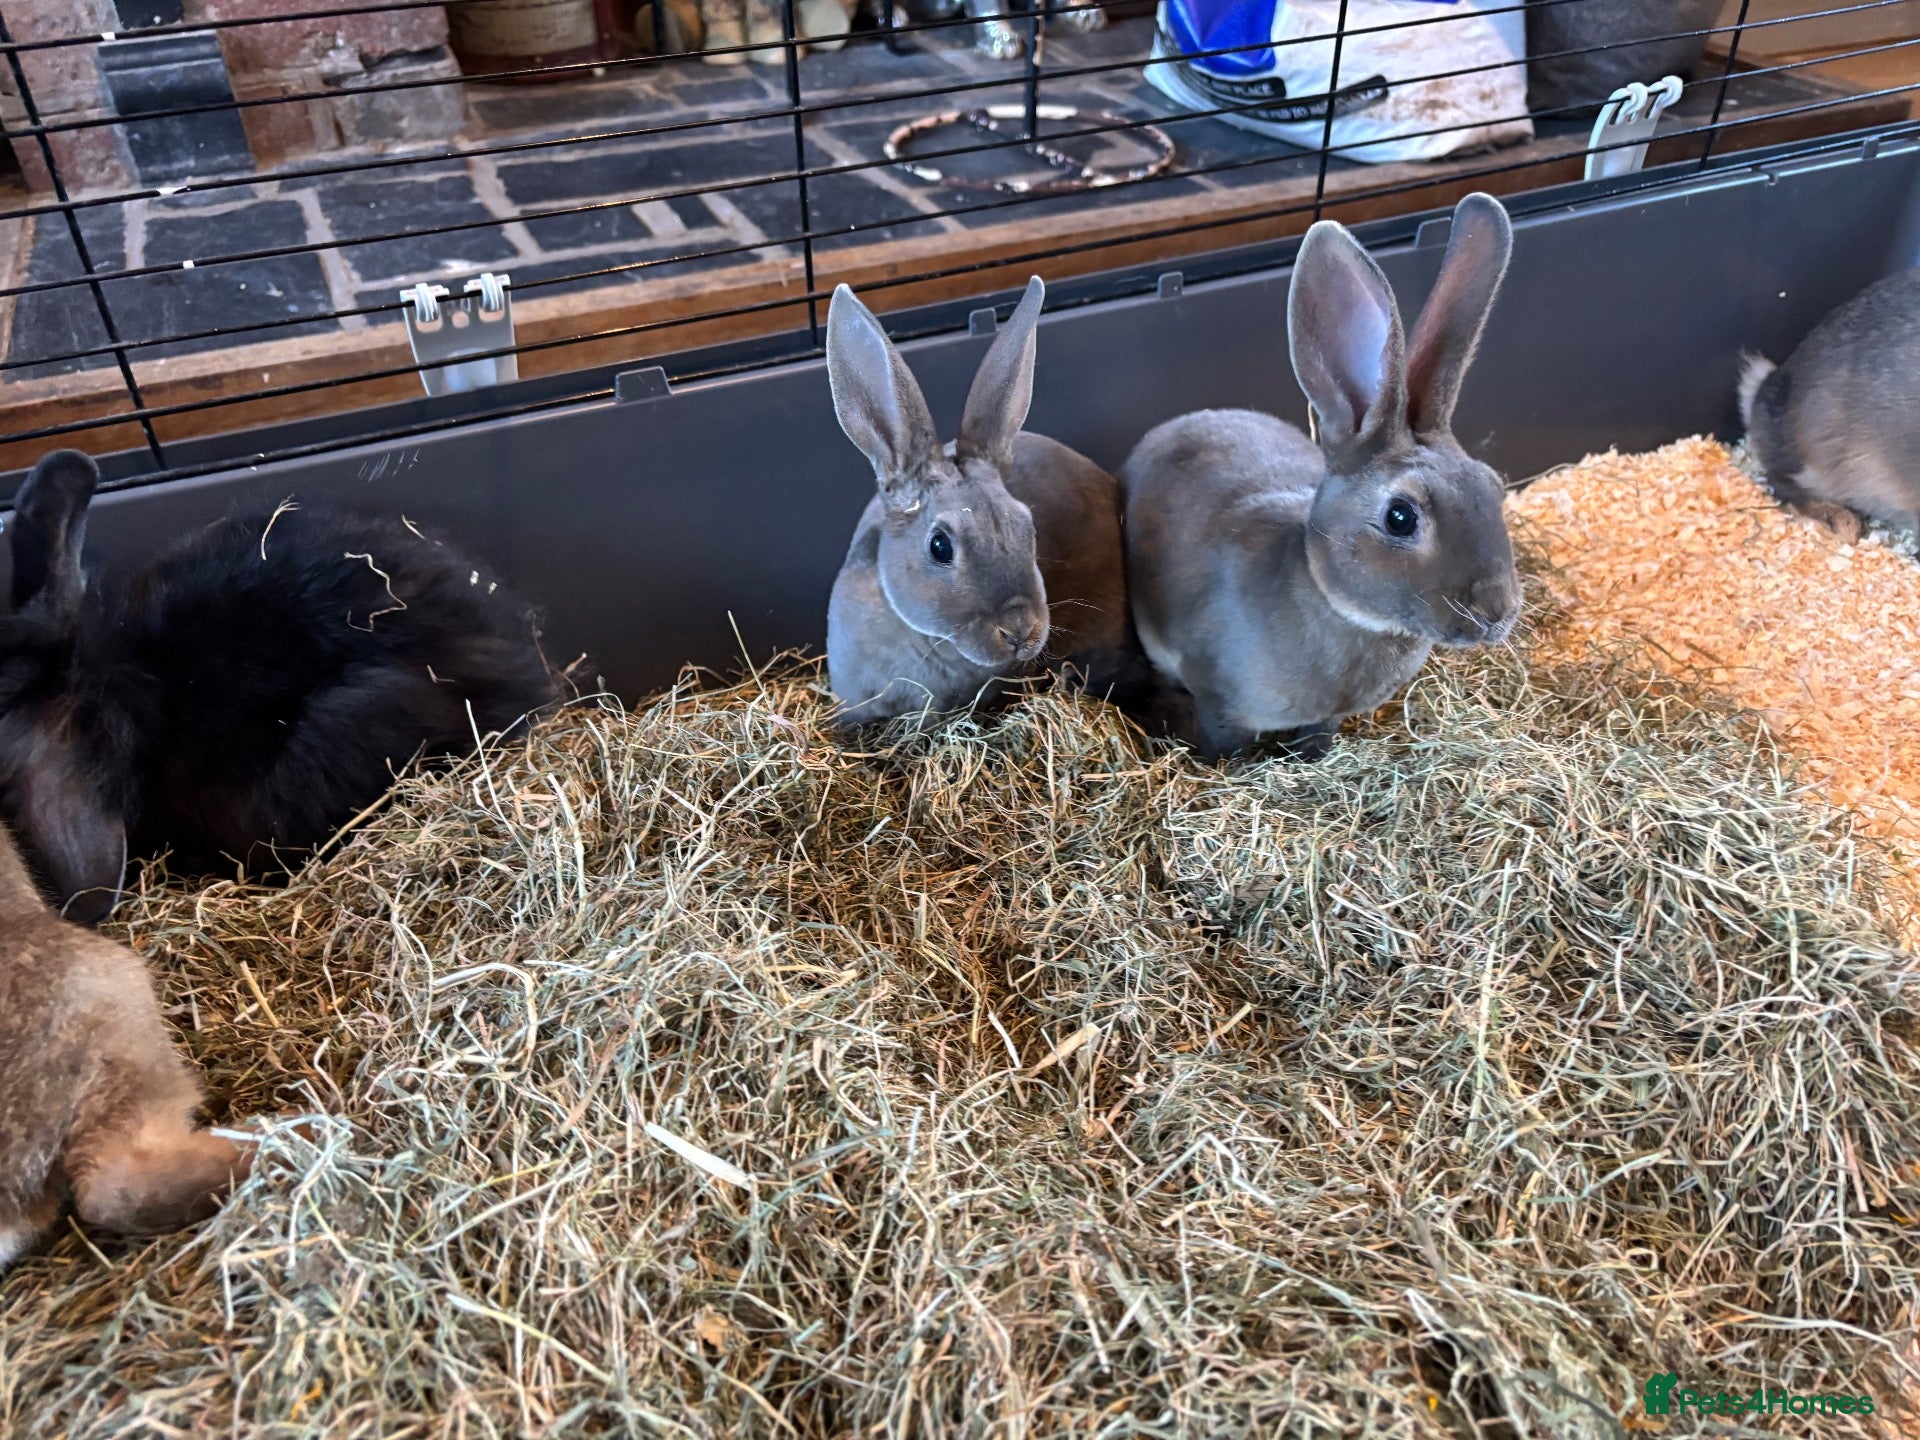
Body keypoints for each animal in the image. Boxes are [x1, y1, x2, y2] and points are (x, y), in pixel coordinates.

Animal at [1120, 191, 1522, 762]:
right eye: (1400, 517)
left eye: (1493, 488)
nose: (1496, 613)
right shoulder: (1219, 701)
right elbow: (1225, 745)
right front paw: (1226, 769)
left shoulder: (1327, 716)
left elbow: (1318, 736)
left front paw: (1311, 758)